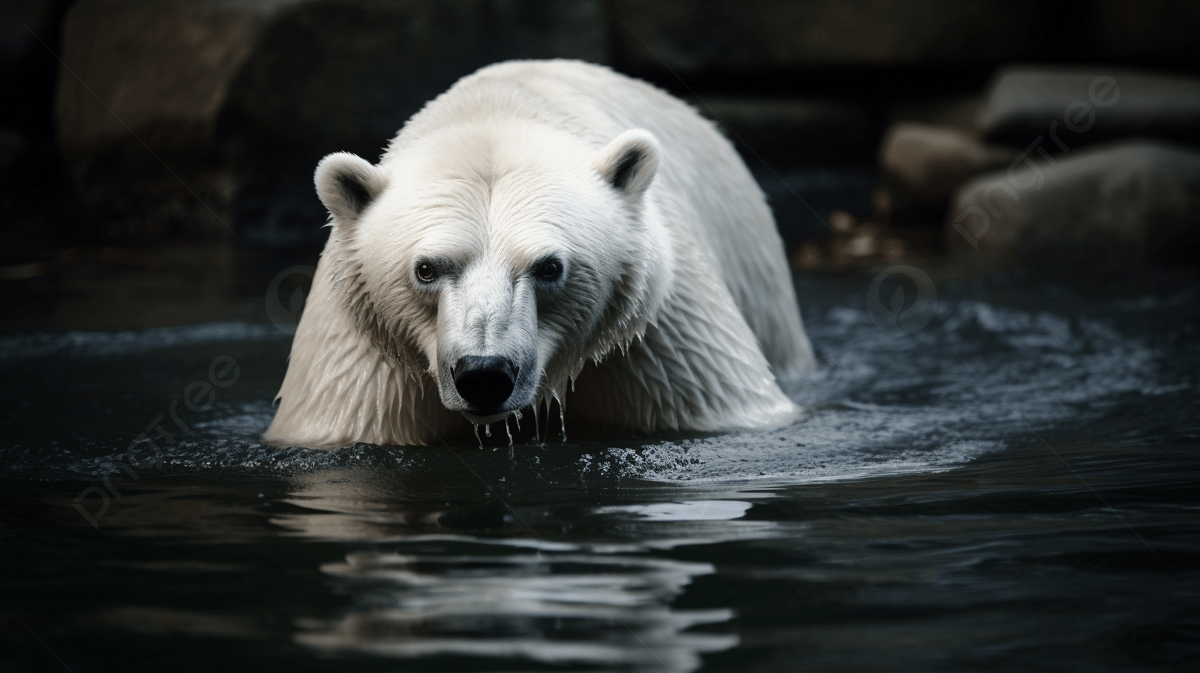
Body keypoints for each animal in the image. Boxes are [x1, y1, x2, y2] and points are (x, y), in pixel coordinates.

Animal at [262, 60, 815, 449]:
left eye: (549, 267)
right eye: (426, 269)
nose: (484, 374)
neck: (502, 109)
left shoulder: (653, 336)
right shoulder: (367, 365)